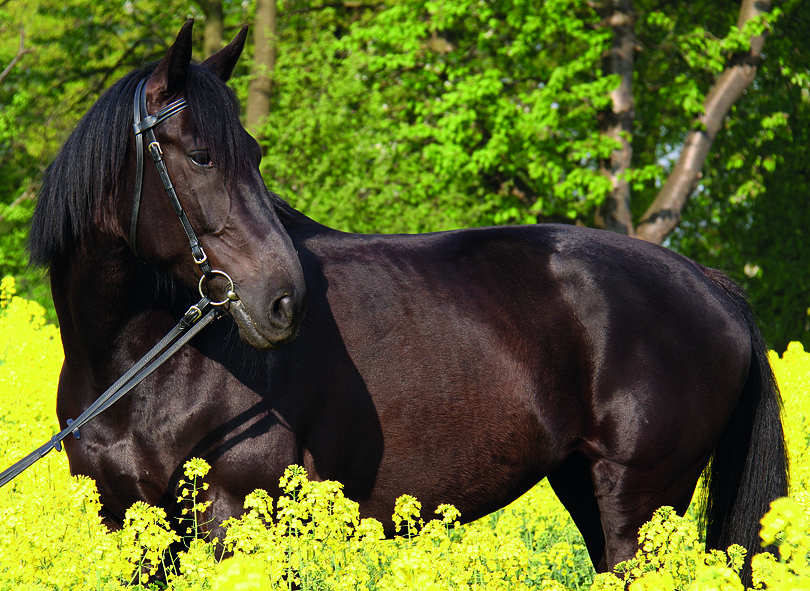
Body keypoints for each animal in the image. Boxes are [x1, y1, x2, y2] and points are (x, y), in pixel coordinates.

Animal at [29, 20, 787, 581]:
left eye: (253, 153)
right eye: (199, 155)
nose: (283, 300)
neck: (143, 366)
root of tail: (711, 283)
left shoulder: (234, 511)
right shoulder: (128, 523)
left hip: (642, 506)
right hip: (588, 489)